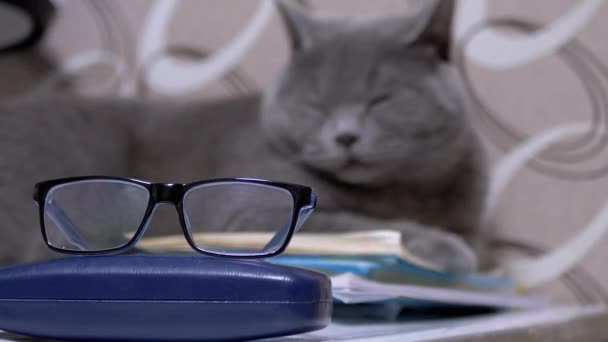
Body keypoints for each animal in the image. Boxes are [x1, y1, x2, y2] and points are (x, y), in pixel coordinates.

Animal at [0, 0, 484, 272]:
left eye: (381, 99)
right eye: (317, 103)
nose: (345, 136)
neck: (401, 194)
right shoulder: (245, 209)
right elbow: (354, 224)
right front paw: (443, 247)